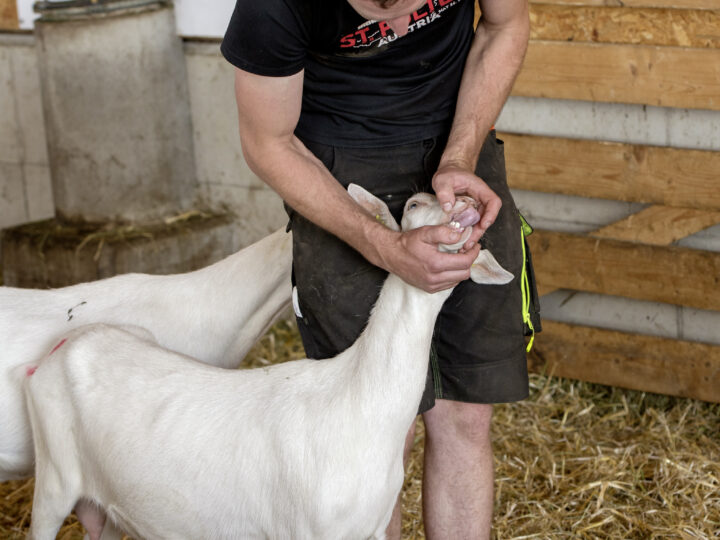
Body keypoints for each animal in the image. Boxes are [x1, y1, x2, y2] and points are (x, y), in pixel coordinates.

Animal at [23, 185, 512, 540]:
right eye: (413, 205)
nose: (468, 203)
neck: (358, 400)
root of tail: (62, 346)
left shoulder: (371, 528)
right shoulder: (308, 531)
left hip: (110, 505)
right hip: (53, 480)